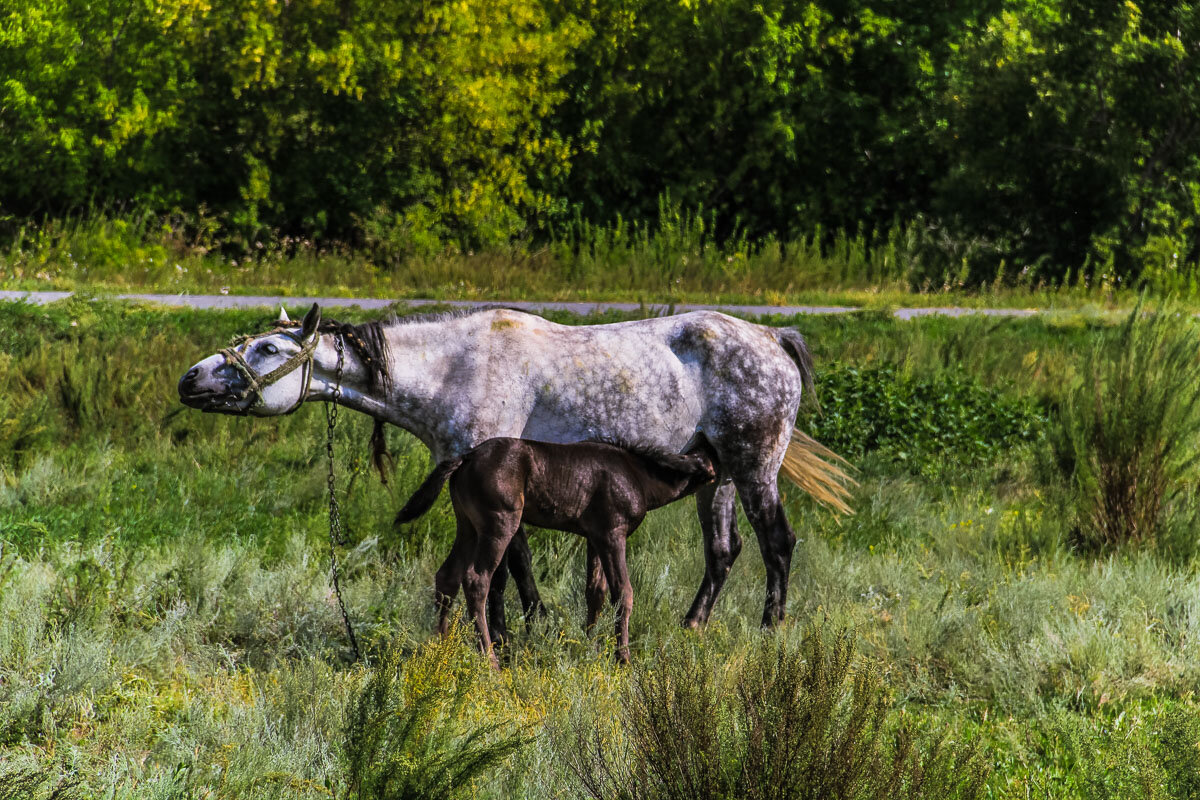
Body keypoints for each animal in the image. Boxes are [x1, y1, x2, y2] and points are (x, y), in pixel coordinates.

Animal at [177, 303, 854, 628]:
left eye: (268, 348)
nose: (191, 379)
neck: (455, 368)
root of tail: (772, 337)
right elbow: (510, 564)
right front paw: (525, 626)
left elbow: (506, 568)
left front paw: (519, 631)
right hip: (720, 480)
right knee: (723, 552)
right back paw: (693, 626)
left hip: (755, 468)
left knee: (776, 545)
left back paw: (770, 630)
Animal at [396, 438, 710, 662]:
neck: (638, 475)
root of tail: (466, 457)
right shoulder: (613, 535)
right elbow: (624, 592)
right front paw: (623, 660)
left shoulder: (595, 538)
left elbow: (595, 592)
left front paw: (590, 648)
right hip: (499, 525)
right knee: (476, 579)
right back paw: (491, 660)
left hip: (468, 527)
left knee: (447, 576)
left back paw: (442, 650)